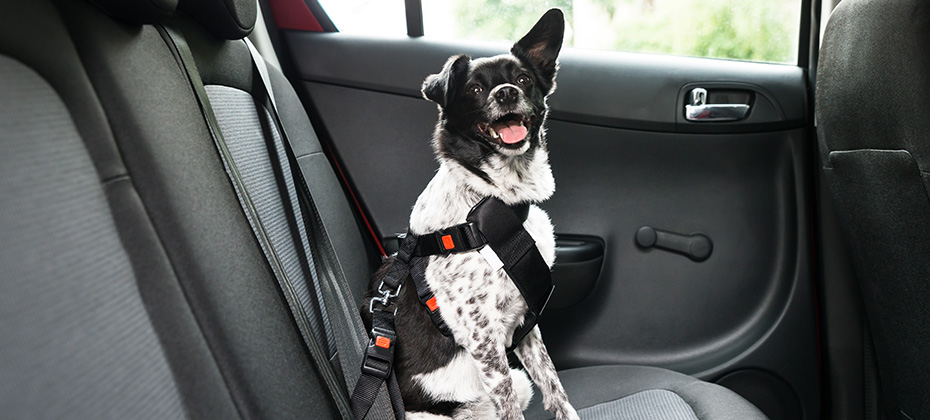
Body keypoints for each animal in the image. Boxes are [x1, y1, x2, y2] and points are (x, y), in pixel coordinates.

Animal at [360, 9, 572, 420]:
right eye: (474, 90)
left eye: (523, 79)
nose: (506, 93)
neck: (493, 199)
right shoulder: (481, 335)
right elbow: (508, 404)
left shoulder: (524, 319)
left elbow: (554, 385)